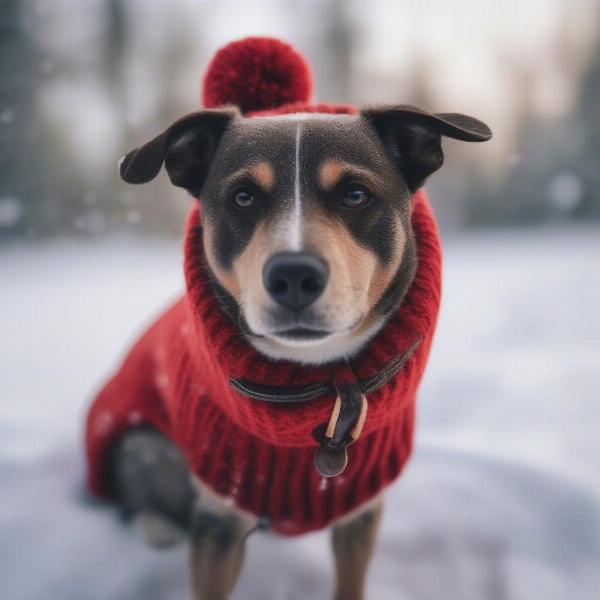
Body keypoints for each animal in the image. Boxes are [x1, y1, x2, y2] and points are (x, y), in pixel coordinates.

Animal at [86, 37, 490, 600]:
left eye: (356, 194)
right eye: (242, 196)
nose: (293, 274)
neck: (321, 380)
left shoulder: (361, 512)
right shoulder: (218, 520)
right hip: (139, 444)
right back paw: (156, 525)